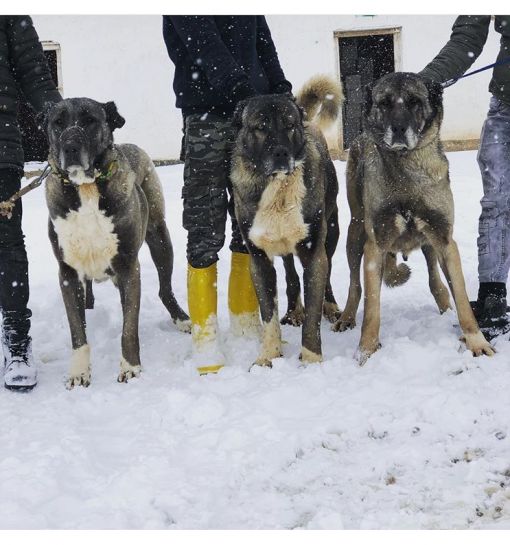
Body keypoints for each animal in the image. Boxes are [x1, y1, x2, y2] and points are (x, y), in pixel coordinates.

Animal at [39, 98, 190, 386]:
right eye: (58, 122)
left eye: (89, 120)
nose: (70, 147)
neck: (86, 187)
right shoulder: (68, 272)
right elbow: (77, 331)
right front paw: (79, 372)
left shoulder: (128, 266)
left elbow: (128, 327)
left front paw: (130, 367)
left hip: (159, 236)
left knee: (164, 289)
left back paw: (181, 318)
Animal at [229, 75, 340, 366]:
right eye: (260, 127)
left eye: (290, 125)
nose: (280, 153)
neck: (278, 187)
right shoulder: (259, 259)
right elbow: (268, 314)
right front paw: (268, 356)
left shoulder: (314, 253)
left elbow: (313, 316)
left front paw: (311, 360)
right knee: (290, 276)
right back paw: (293, 312)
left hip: (331, 233)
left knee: (328, 275)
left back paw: (332, 307)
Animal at [334, 71, 494, 362]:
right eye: (384, 103)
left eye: (414, 102)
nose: (398, 129)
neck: (406, 167)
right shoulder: (375, 245)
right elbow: (372, 307)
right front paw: (366, 351)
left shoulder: (444, 240)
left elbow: (462, 298)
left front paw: (476, 341)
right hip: (356, 231)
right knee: (355, 286)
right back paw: (348, 317)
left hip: (429, 243)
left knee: (435, 280)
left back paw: (445, 307)